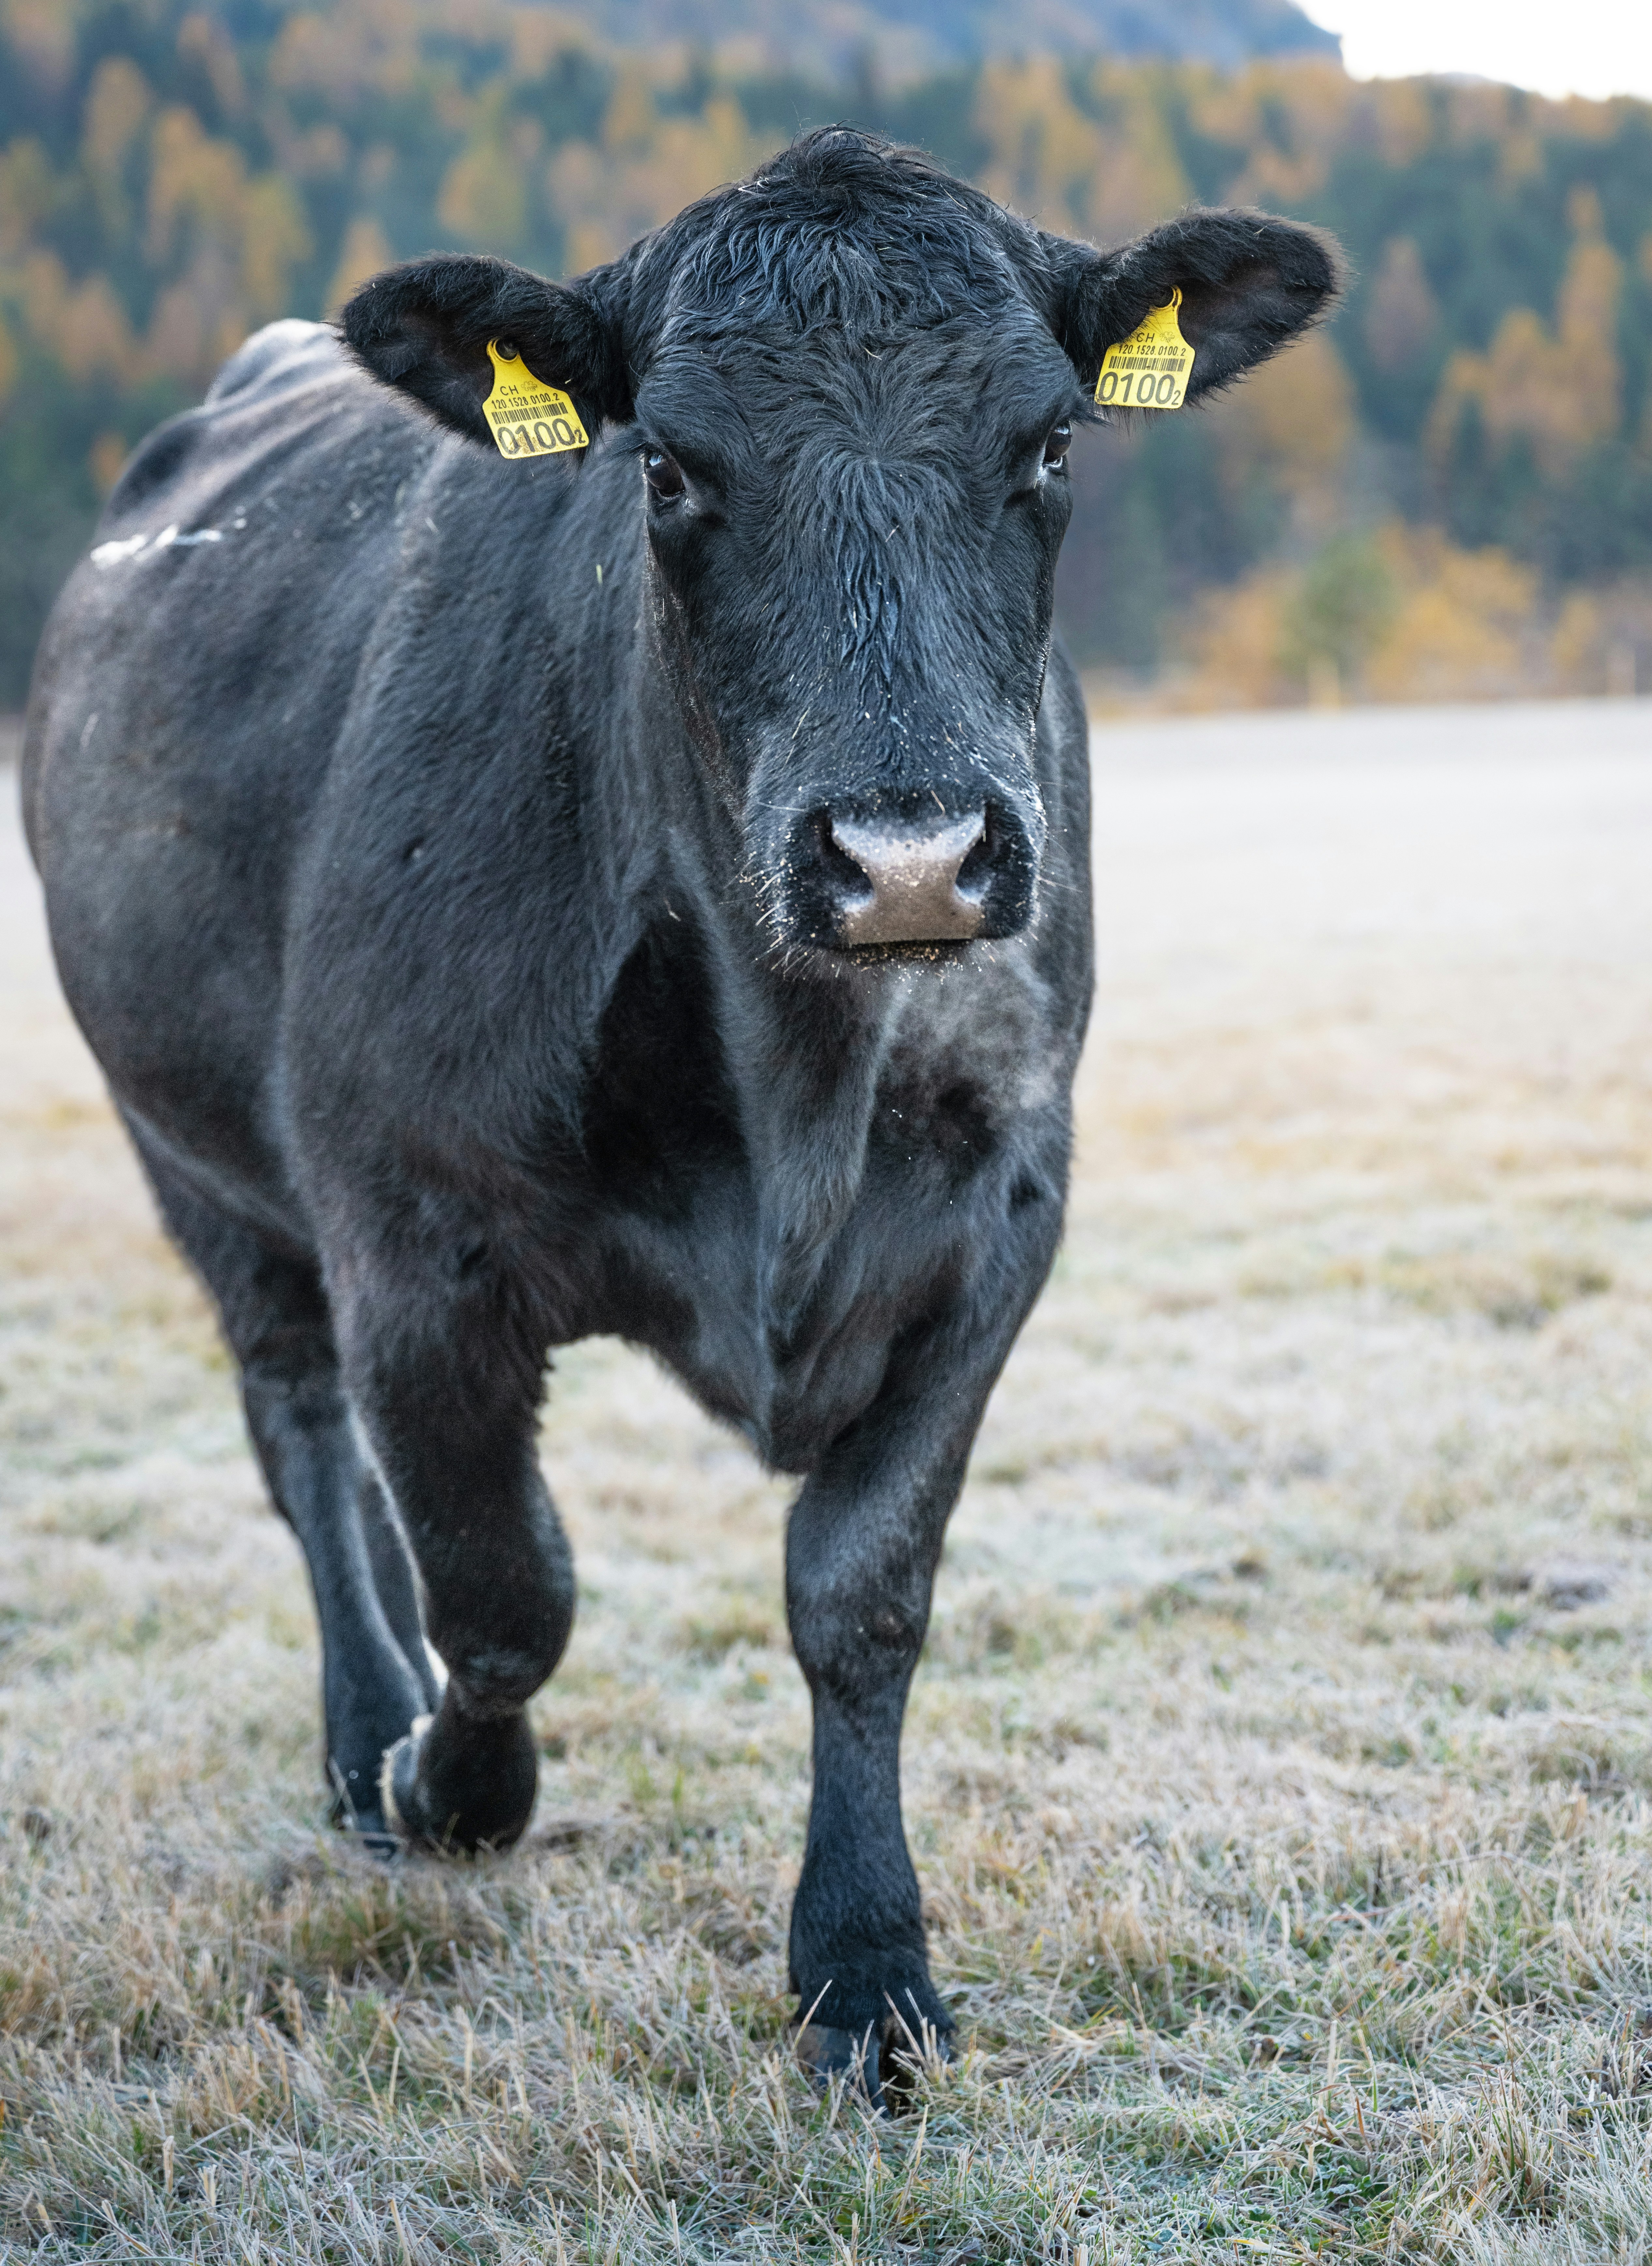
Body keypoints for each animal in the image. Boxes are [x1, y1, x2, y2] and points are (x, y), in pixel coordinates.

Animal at [22, 128, 1338, 2105]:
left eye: (1046, 446)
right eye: (666, 467)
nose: (905, 853)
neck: (796, 1096)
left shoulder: (994, 1226)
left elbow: (859, 1592)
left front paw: (866, 1970)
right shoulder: (411, 1232)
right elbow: (503, 1589)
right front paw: (447, 1782)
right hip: (192, 1159)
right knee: (302, 1435)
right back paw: (363, 1732)